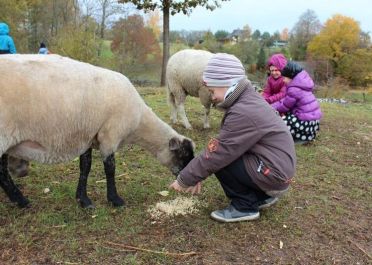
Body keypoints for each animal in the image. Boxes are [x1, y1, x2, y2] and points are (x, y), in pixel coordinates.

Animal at [0, 54, 193, 206]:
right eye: (183, 154)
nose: (185, 181)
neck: (139, 121)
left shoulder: (88, 136)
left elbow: (85, 167)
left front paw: (83, 200)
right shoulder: (110, 135)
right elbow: (110, 168)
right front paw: (115, 199)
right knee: (2, 172)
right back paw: (21, 200)